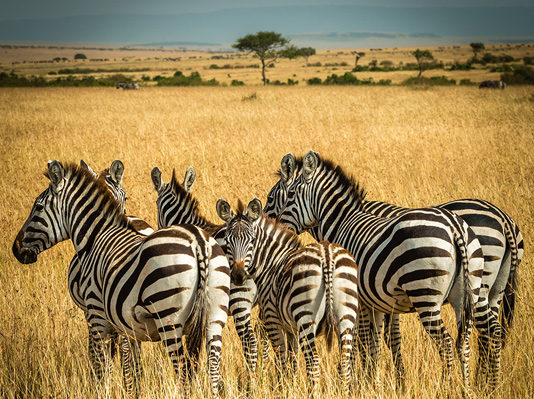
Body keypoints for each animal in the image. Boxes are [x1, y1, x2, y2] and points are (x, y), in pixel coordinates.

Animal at [12, 161, 230, 398]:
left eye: (38, 207)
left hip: (169, 318)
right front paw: (132, 391)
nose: (16, 249)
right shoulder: (126, 323)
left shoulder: (96, 312)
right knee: (213, 369)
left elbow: (101, 364)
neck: (96, 236)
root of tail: (199, 242)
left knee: (182, 371)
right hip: (215, 316)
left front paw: (100, 391)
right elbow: (130, 363)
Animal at [152, 166, 272, 376]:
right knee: (264, 337)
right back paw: (265, 376)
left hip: (240, 299)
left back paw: (251, 379)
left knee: (250, 341)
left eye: (157, 205)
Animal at [215, 198, 360, 396]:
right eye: (228, 241)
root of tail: (327, 255)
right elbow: (292, 361)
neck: (272, 263)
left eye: (252, 240)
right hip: (346, 316)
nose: (237, 276)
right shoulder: (292, 328)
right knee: (345, 363)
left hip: (305, 316)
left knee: (313, 362)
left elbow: (282, 361)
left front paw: (281, 389)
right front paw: (289, 386)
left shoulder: (273, 320)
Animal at [266, 152, 524, 390]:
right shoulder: (382, 301)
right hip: (481, 291)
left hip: (428, 292)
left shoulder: (360, 297)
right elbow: (382, 341)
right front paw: (380, 381)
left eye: (280, 197)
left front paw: (360, 381)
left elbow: (364, 340)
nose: (271, 226)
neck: (342, 222)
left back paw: (452, 386)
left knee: (453, 342)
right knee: (478, 337)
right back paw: (476, 386)